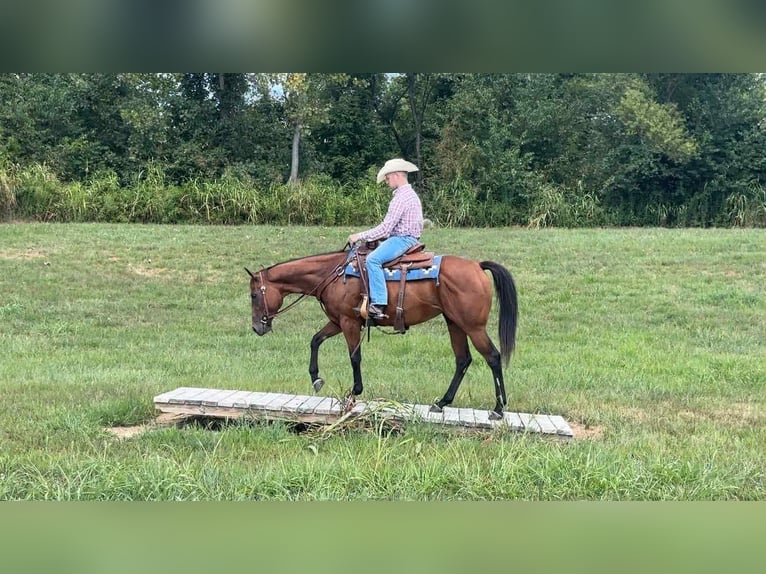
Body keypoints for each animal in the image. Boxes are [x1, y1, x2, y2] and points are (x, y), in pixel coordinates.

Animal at [245, 244, 518, 419]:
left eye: (253, 295)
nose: (257, 327)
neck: (333, 275)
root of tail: (477, 267)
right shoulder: (337, 321)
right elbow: (315, 341)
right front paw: (316, 379)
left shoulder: (348, 322)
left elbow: (354, 356)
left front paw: (353, 393)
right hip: (454, 323)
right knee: (463, 360)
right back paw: (441, 403)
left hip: (473, 326)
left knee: (492, 357)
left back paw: (498, 409)